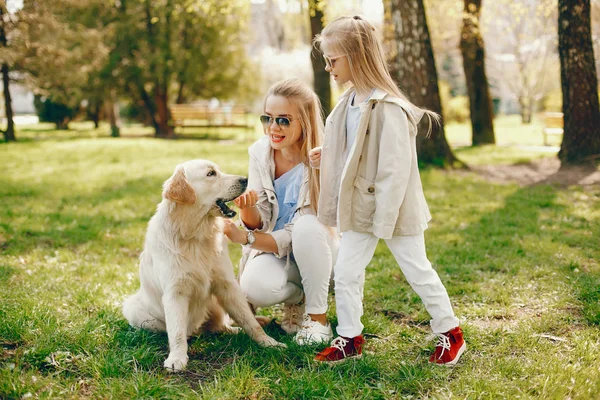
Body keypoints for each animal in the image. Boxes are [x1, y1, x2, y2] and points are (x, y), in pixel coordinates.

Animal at [122, 159, 284, 372]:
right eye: (210, 174)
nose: (245, 179)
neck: (194, 235)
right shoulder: (175, 292)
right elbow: (176, 332)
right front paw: (177, 358)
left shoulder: (227, 285)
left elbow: (248, 320)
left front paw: (269, 343)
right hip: (133, 310)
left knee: (223, 326)